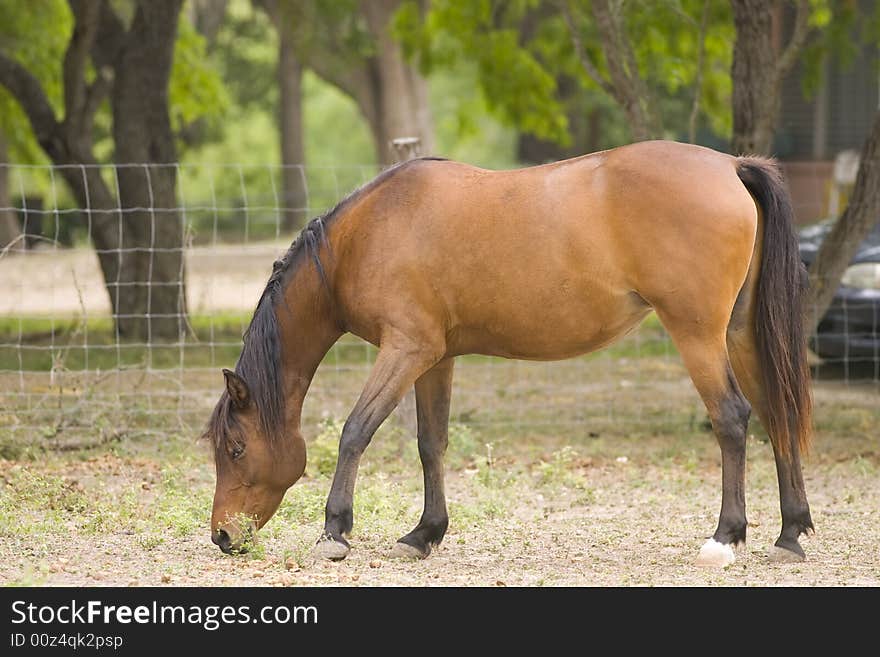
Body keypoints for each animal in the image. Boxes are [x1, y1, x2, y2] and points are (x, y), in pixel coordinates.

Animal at [203, 141, 816, 568]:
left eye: (236, 448)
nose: (223, 536)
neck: (366, 236)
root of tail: (731, 166)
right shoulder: (435, 358)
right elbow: (431, 444)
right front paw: (424, 534)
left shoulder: (405, 350)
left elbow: (355, 432)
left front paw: (334, 532)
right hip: (739, 334)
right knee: (776, 416)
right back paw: (790, 535)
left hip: (697, 335)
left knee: (732, 419)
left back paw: (724, 539)